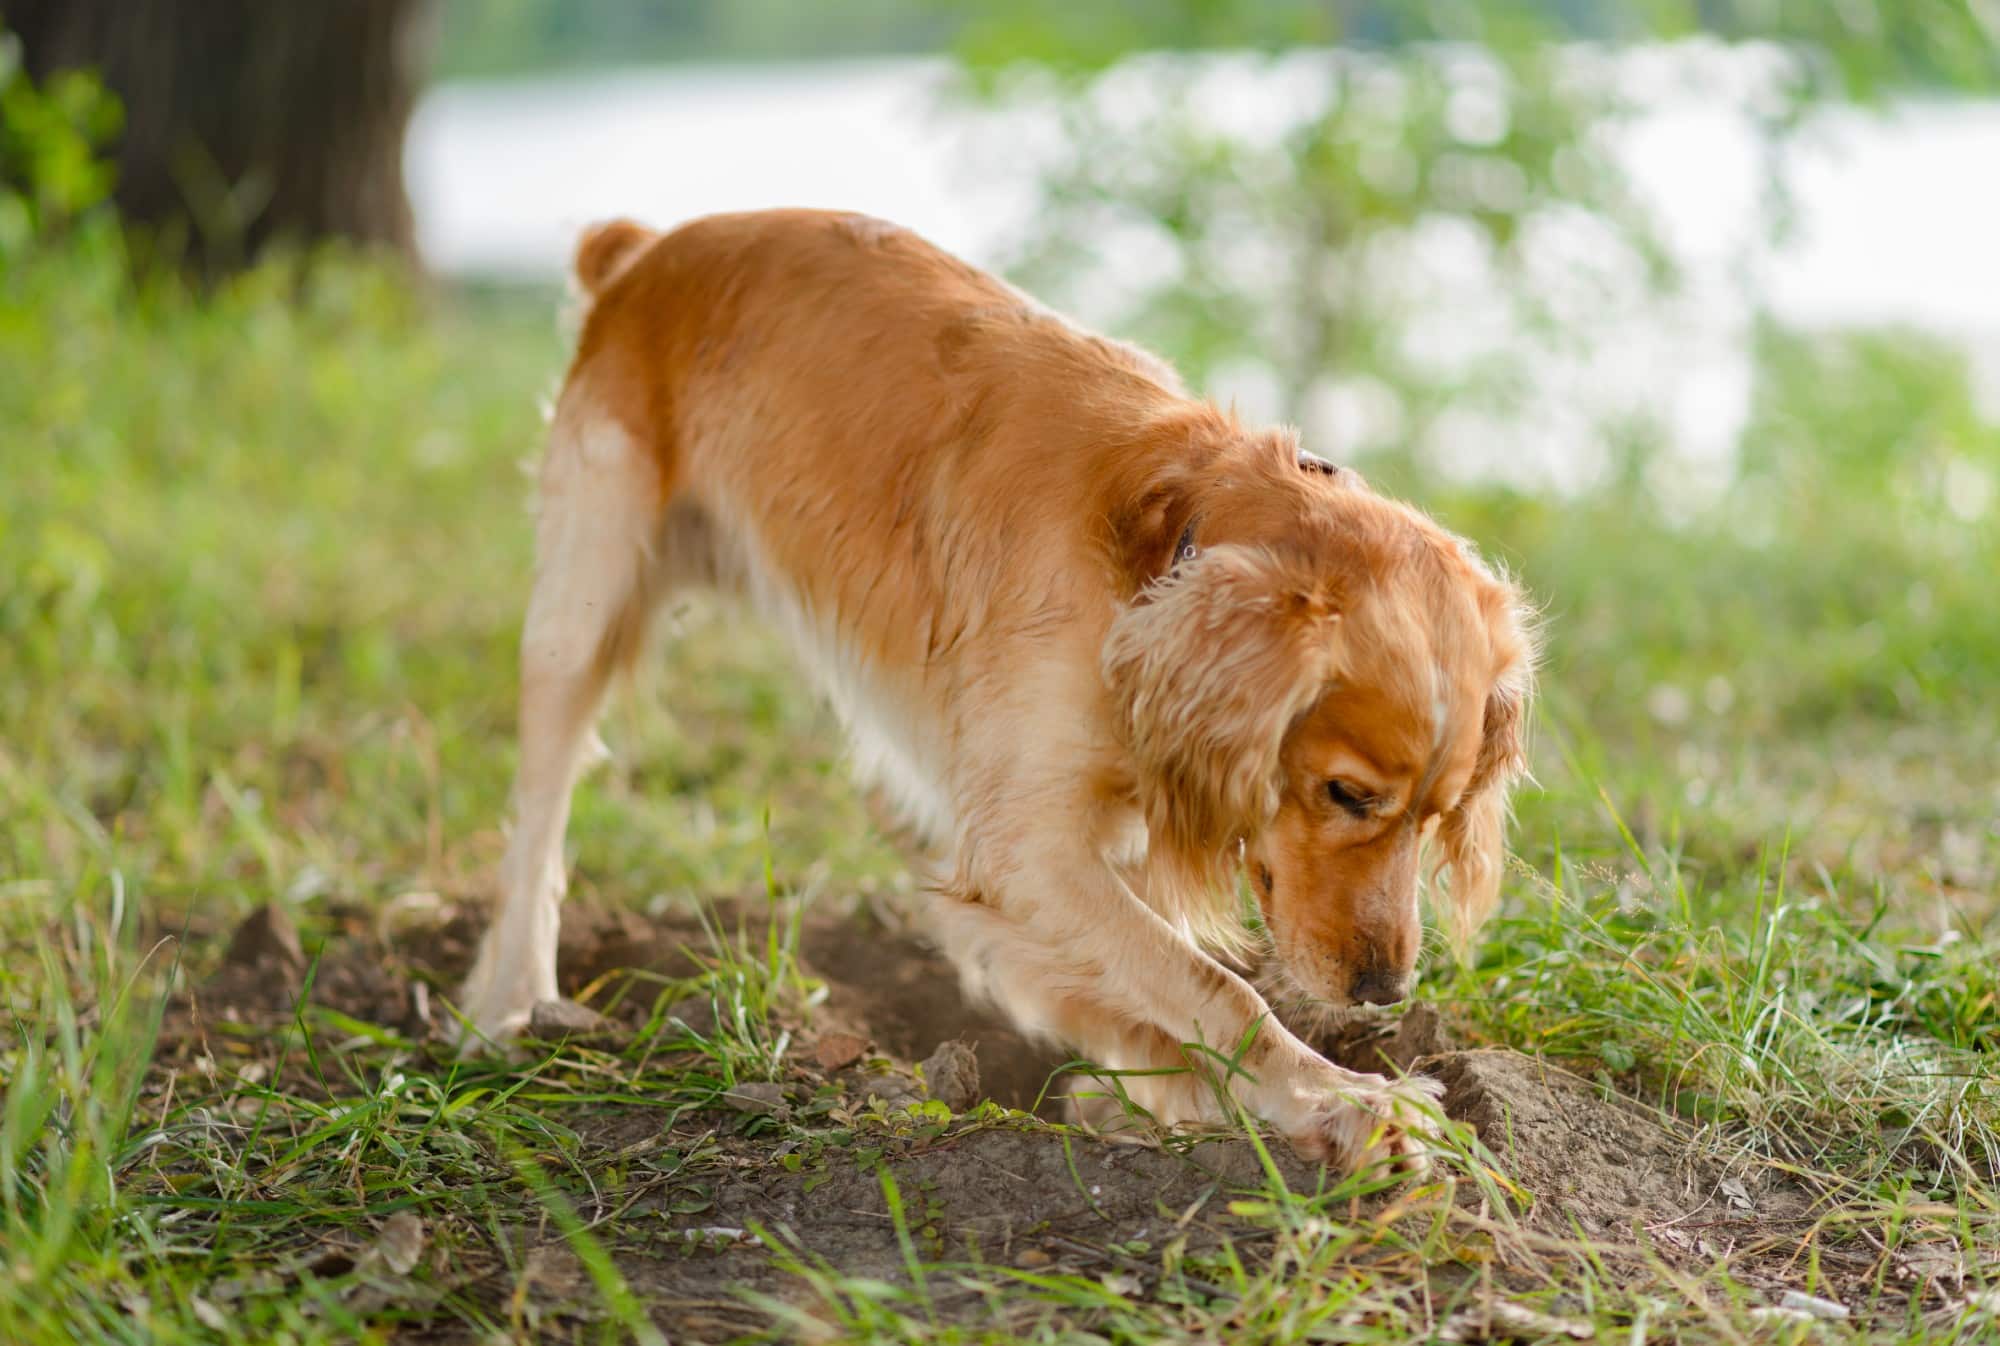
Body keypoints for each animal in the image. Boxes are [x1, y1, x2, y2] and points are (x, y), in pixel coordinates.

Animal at [460, 205, 1536, 1168]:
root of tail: (645, 250)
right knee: (539, 819)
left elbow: (1143, 978)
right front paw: (1340, 1099)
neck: (1162, 547)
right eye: (1346, 793)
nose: (1386, 991)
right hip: (582, 606)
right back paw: (507, 1000)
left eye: (1438, 813)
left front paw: (1170, 1091)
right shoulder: (1032, 844)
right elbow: (1212, 985)